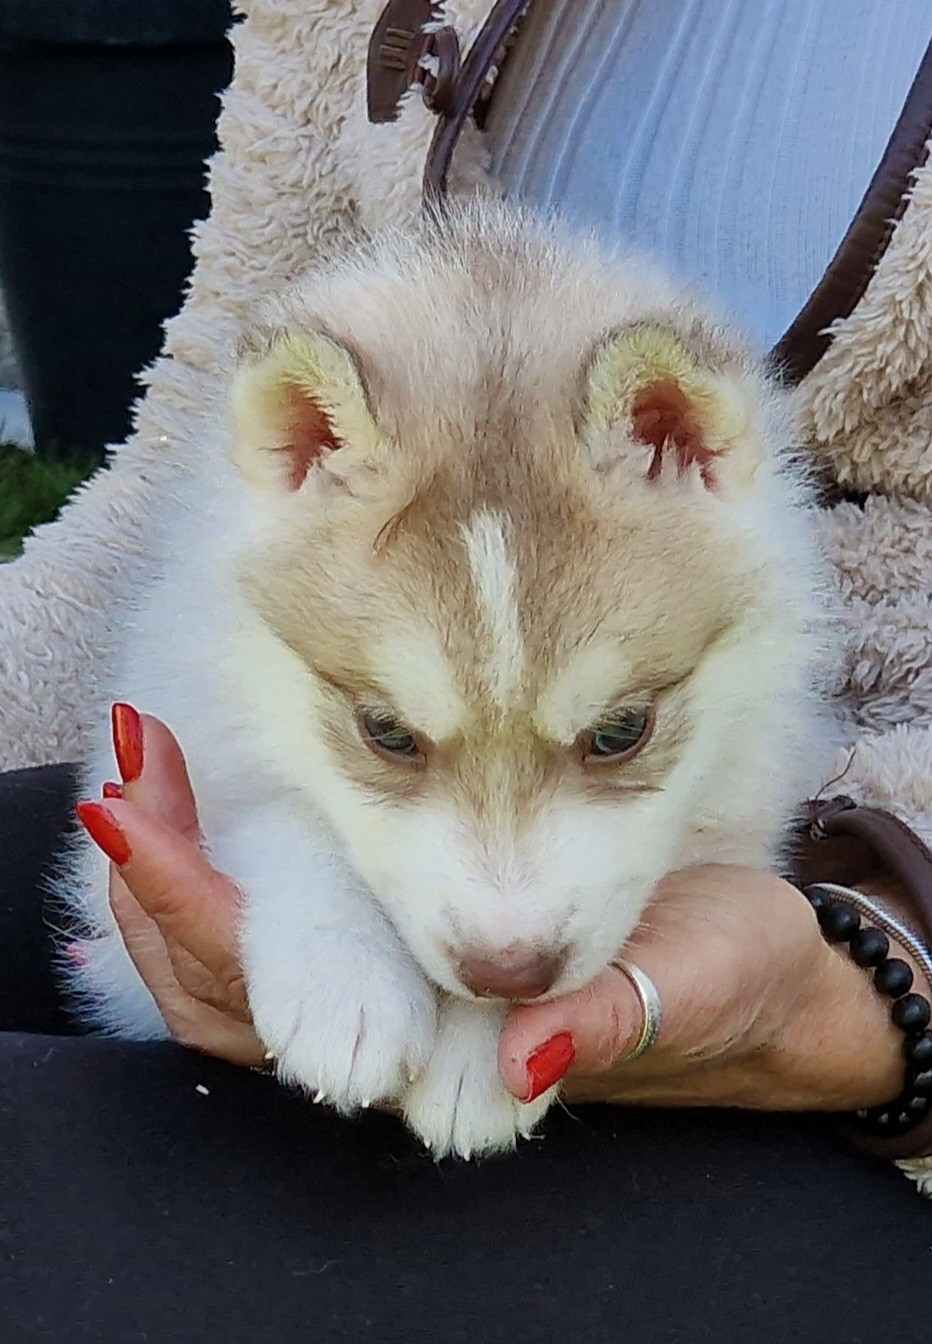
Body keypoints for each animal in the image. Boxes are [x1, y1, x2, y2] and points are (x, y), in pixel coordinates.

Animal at [60, 198, 832, 1158]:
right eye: (387, 734)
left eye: (621, 732)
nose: (508, 970)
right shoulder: (184, 718)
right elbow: (287, 817)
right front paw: (342, 982)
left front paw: (480, 1057)